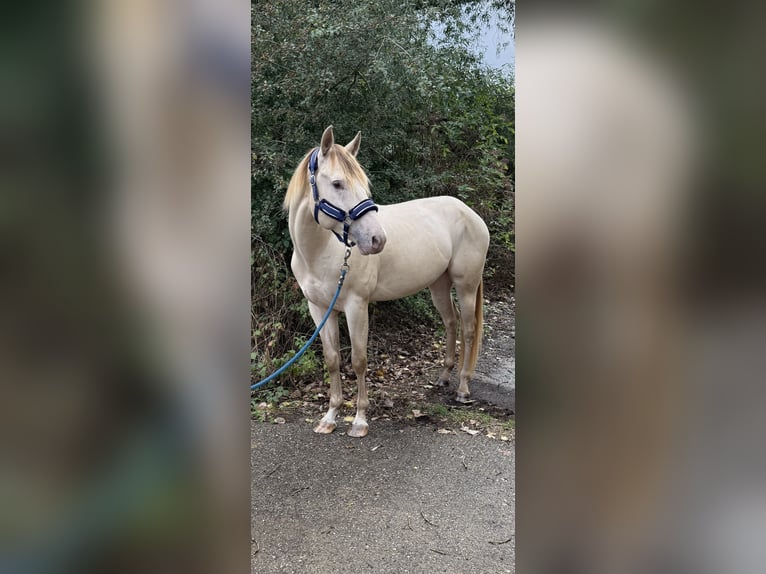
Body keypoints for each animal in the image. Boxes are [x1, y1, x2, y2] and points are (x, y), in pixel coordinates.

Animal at [284, 126, 490, 437]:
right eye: (337, 184)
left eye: (363, 185)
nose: (377, 240)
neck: (321, 252)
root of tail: (470, 213)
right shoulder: (319, 309)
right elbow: (332, 359)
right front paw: (330, 417)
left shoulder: (357, 307)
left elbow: (358, 361)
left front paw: (359, 420)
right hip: (438, 285)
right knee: (450, 322)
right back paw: (444, 377)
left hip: (465, 286)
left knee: (468, 330)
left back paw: (463, 388)